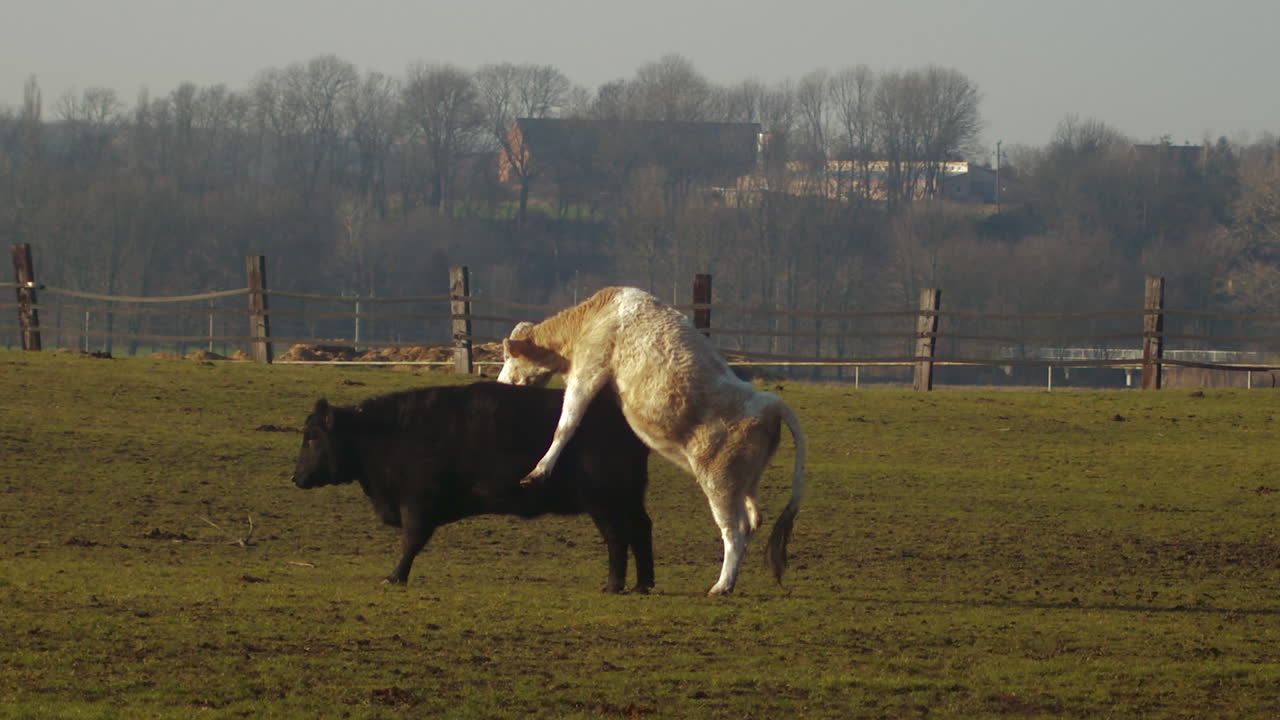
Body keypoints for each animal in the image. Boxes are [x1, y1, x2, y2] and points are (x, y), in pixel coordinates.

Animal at [290, 381, 650, 589]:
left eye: (313, 438)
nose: (295, 478)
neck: (386, 433)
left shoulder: (416, 506)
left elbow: (410, 542)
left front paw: (394, 577)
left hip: (605, 503)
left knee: (617, 538)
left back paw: (614, 584)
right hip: (627, 500)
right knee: (640, 529)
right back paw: (643, 584)